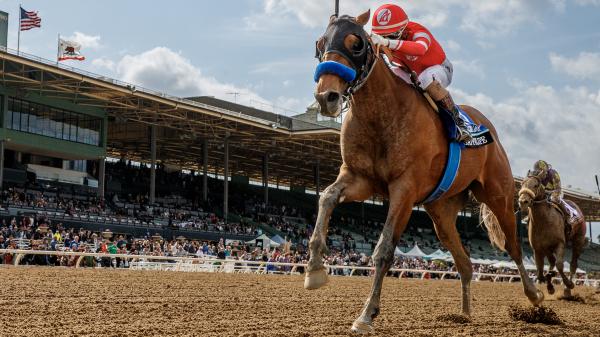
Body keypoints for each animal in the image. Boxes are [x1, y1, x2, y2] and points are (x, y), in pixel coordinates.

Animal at [304, 11, 544, 334]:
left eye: (356, 44)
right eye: (320, 44)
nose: (326, 97)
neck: (381, 113)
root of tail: (487, 127)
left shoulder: (404, 189)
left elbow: (384, 249)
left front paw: (366, 315)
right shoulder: (359, 178)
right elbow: (326, 197)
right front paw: (315, 270)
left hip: (499, 196)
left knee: (514, 248)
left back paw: (534, 296)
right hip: (441, 213)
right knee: (465, 263)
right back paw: (463, 314)